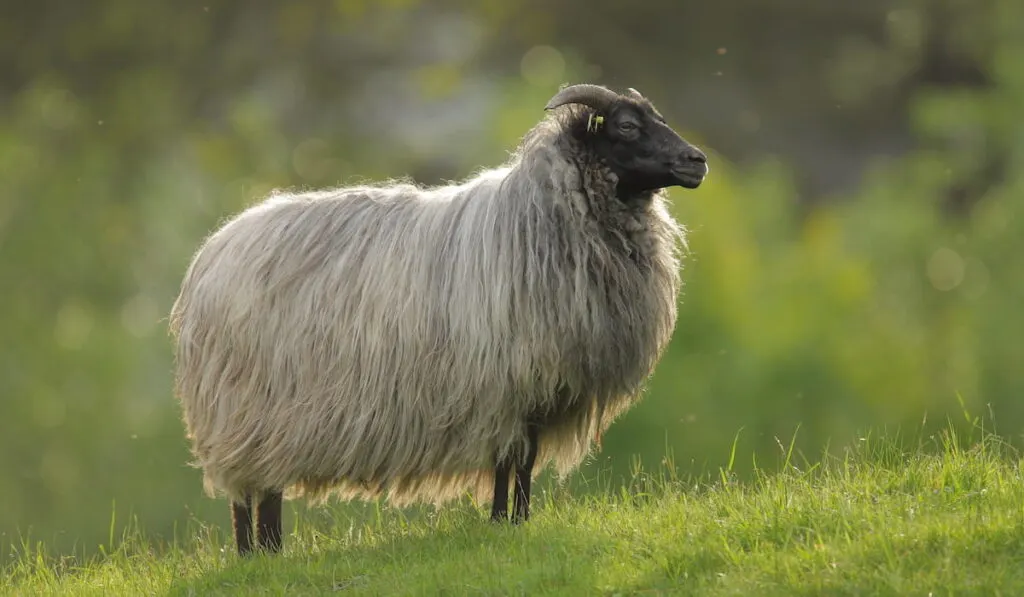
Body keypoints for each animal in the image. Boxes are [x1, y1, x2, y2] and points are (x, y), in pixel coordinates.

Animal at [169, 82, 712, 557]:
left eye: (659, 119)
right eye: (626, 126)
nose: (697, 161)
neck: (540, 215)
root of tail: (211, 255)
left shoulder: (534, 392)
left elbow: (522, 462)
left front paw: (515, 521)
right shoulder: (508, 385)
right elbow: (512, 460)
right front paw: (504, 524)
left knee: (260, 493)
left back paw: (266, 554)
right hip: (247, 411)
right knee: (251, 496)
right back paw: (256, 556)